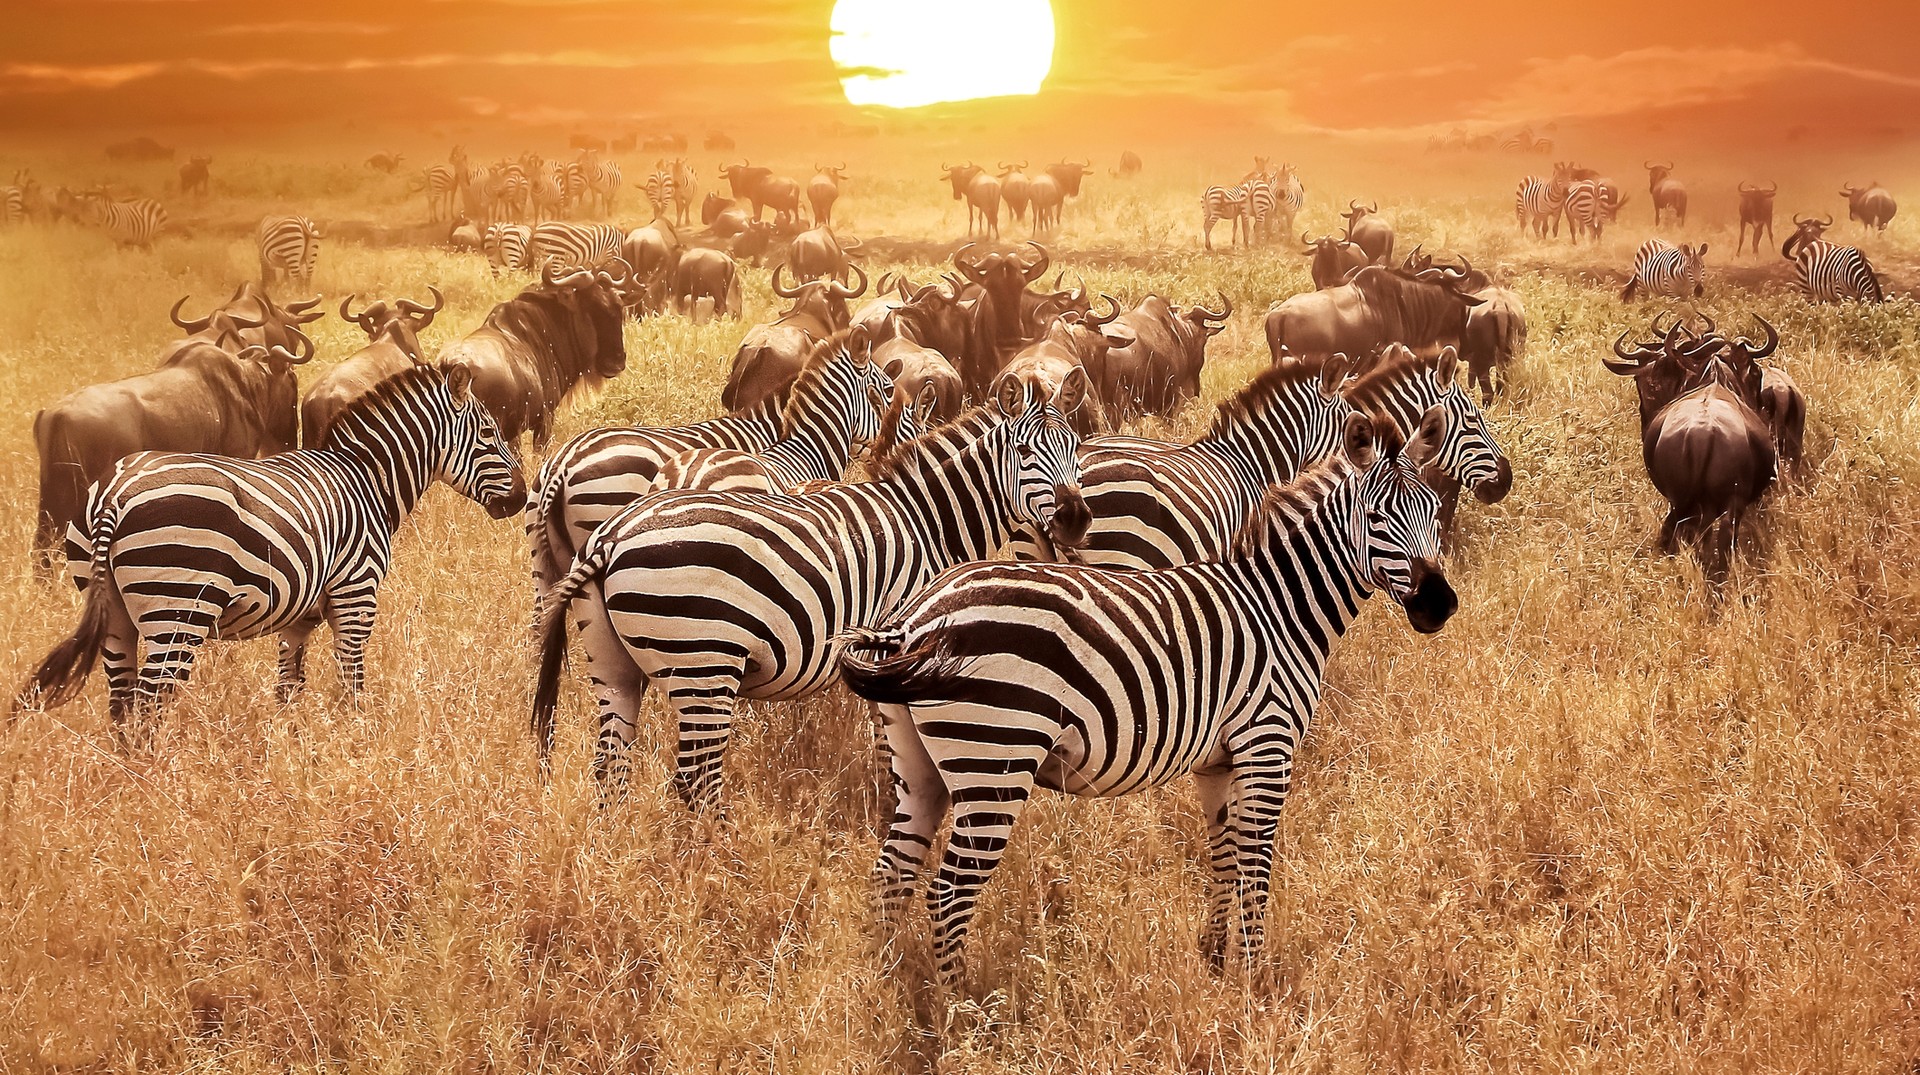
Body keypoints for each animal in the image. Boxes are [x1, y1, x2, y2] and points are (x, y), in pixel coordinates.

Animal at [16, 365, 526, 745]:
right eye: (488, 433)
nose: (521, 498)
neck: (365, 481)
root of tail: (116, 493)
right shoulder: (356, 597)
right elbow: (352, 682)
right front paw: (356, 742)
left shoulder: (300, 616)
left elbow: (289, 688)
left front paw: (292, 750)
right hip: (177, 612)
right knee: (147, 705)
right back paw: (156, 786)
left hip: (114, 613)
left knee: (122, 705)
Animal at [529, 383, 1090, 809]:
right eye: (1024, 453)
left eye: (1077, 451)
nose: (1076, 520)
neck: (925, 521)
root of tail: (611, 537)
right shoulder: (894, 646)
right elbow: (889, 745)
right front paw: (888, 803)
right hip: (704, 664)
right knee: (695, 781)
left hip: (613, 662)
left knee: (610, 764)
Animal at [838, 408, 1456, 989]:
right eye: (1377, 518)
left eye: (1434, 510)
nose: (1440, 606)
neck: (1278, 607)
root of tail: (914, 619)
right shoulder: (1267, 745)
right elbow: (1255, 868)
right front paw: (1255, 982)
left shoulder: (1217, 762)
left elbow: (1223, 859)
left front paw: (1215, 962)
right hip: (996, 755)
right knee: (947, 893)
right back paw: (963, 1010)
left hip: (920, 765)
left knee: (892, 875)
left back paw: (892, 989)